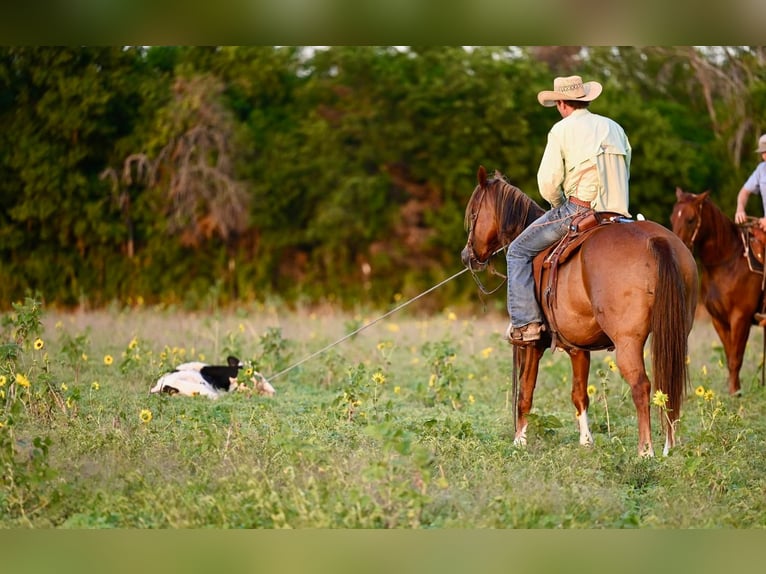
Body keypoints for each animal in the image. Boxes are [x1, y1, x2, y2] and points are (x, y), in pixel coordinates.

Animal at [462, 168, 704, 460]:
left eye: (473, 213)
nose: (467, 255)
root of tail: (656, 240)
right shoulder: (578, 348)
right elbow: (579, 393)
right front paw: (586, 441)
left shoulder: (532, 345)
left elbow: (525, 392)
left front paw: (519, 440)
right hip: (676, 334)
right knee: (667, 385)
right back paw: (669, 445)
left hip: (628, 342)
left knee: (641, 386)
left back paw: (646, 451)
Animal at [668, 189, 764, 396]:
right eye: (673, 217)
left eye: (690, 219)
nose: (677, 248)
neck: (726, 264)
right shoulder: (719, 320)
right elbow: (729, 356)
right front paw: (733, 389)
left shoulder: (740, 318)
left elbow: (736, 357)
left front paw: (735, 392)